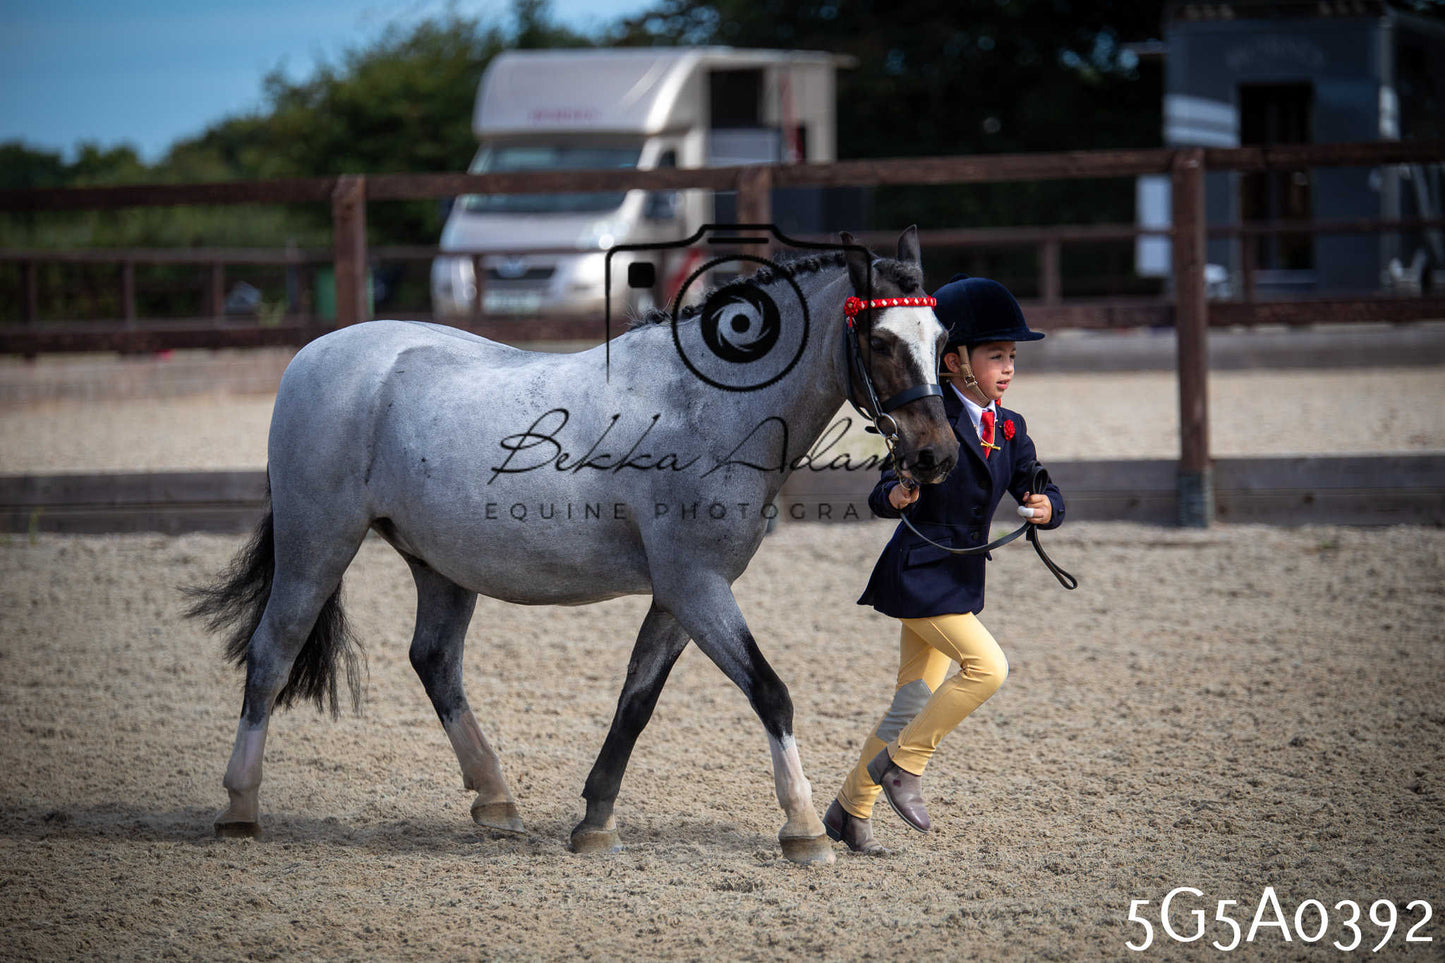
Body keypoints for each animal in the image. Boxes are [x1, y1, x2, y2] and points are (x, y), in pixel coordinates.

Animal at [186, 227, 959, 865]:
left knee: (435, 662)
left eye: (941, 337)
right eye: (882, 340)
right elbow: (771, 693)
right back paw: (240, 807)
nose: (936, 456)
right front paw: (802, 829)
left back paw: (496, 799)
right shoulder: (697, 587)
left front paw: (594, 823)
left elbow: (635, 703)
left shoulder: (679, 597)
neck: (708, 406)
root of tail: (313, 356)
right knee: (273, 653)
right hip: (318, 542)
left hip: (439, 566)